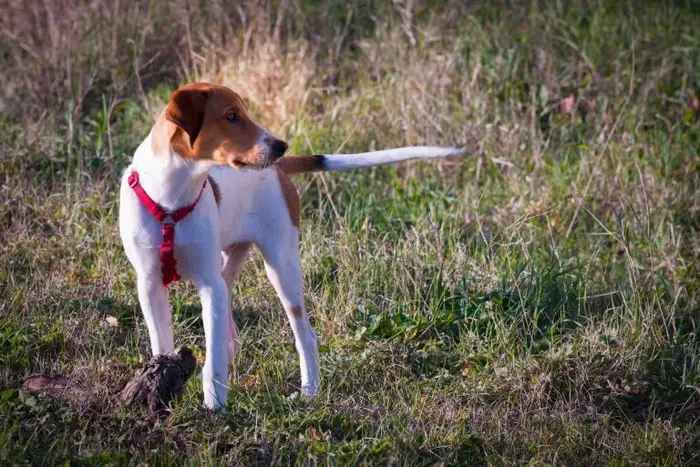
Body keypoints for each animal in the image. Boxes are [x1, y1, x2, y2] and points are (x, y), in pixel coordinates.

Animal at [119, 83, 464, 410]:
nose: (280, 146)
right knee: (231, 311)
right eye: (231, 116)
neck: (171, 199)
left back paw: (310, 390)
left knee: (304, 335)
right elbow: (162, 344)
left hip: (281, 268)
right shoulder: (150, 284)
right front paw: (160, 386)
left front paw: (214, 404)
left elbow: (213, 357)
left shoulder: (208, 283)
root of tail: (279, 170)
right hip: (229, 263)